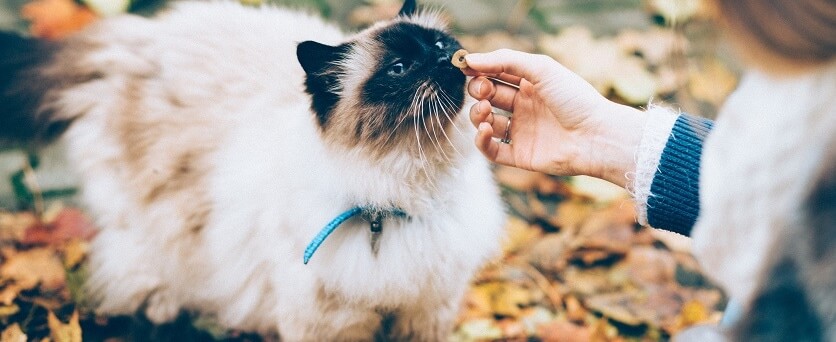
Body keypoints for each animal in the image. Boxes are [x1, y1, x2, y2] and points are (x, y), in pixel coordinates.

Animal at [0, 0, 506, 340]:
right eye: (400, 69)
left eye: (440, 45)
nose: (444, 59)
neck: (403, 196)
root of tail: (136, 36)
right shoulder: (331, 322)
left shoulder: (426, 311)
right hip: (154, 221)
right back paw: (164, 307)